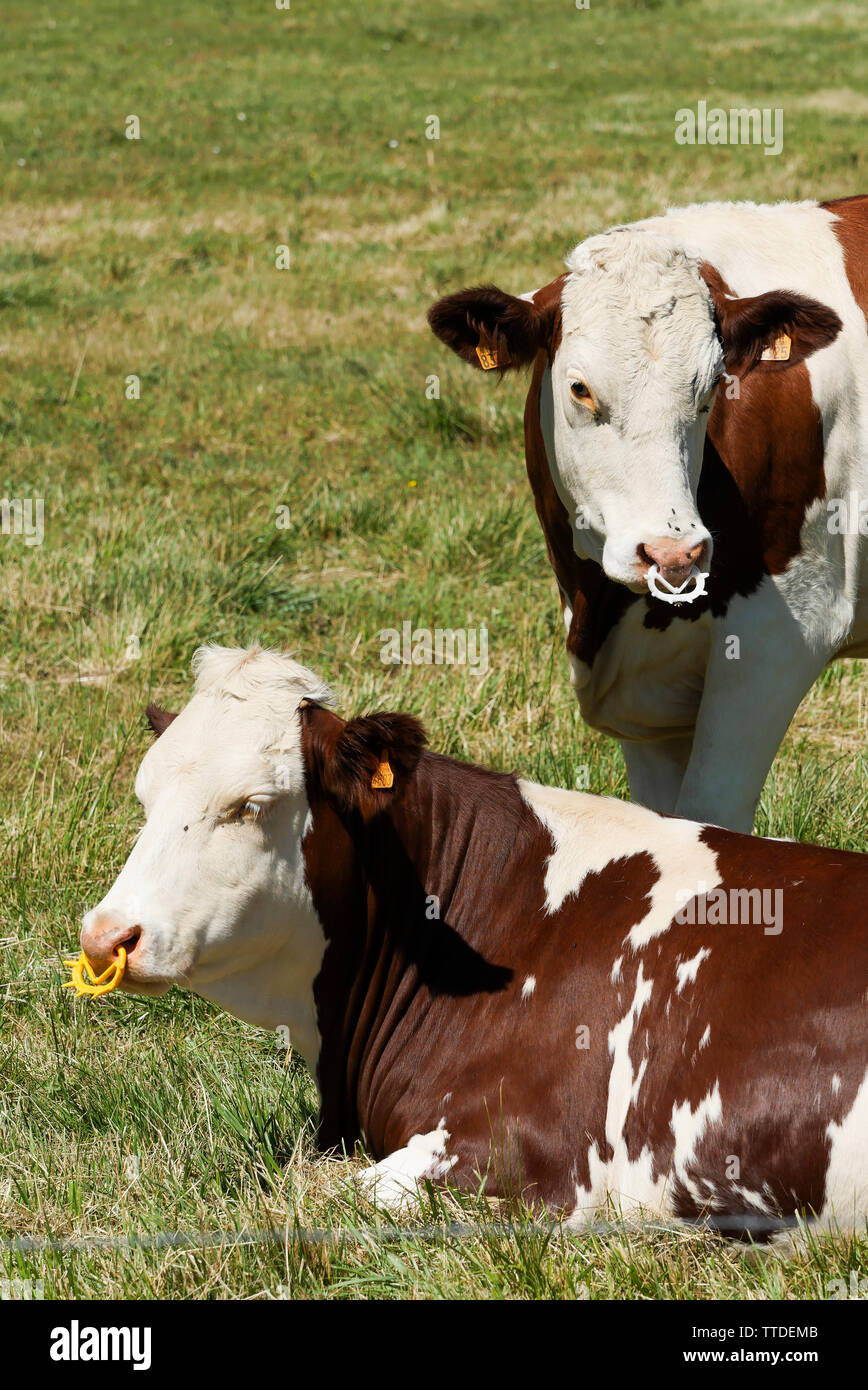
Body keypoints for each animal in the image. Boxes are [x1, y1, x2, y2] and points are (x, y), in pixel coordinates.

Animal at [428, 197, 868, 832]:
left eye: (711, 389)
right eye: (580, 388)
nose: (673, 554)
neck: (607, 611)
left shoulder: (781, 638)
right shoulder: (646, 701)